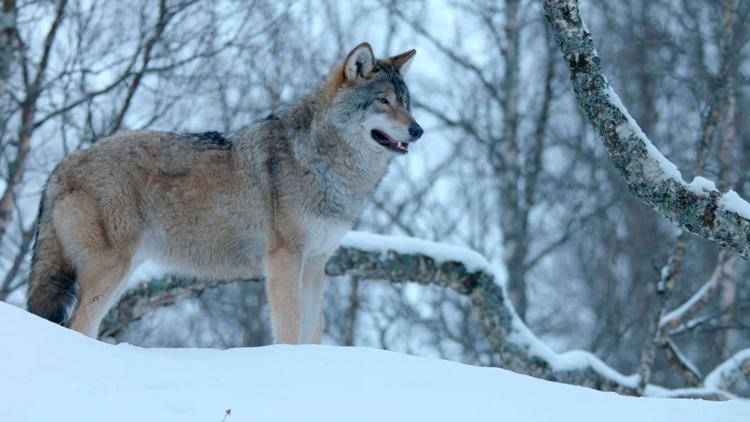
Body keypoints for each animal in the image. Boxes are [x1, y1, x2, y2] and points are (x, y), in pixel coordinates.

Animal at [26, 42, 424, 344]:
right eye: (383, 101)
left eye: (406, 103)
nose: (418, 130)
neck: (324, 162)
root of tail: (61, 167)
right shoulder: (284, 260)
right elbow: (291, 332)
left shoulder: (315, 265)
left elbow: (313, 334)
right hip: (109, 273)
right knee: (77, 324)